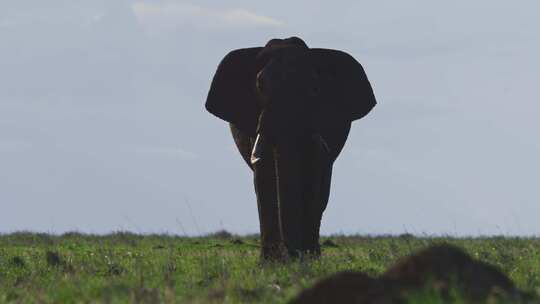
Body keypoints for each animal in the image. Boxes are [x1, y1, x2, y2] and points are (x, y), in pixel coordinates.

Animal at [204, 36, 376, 260]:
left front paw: (308, 258)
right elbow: (265, 175)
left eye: (315, 89)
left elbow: (313, 174)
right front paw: (271, 262)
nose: (293, 255)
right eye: (260, 85)